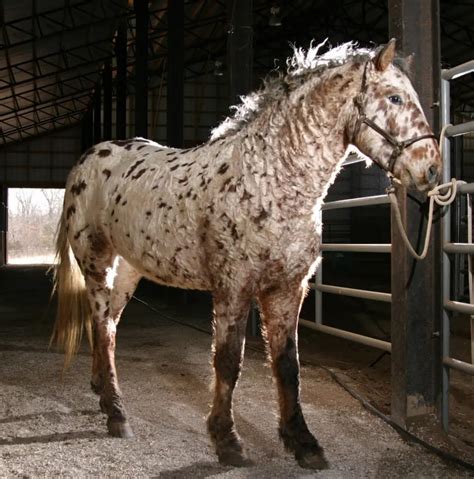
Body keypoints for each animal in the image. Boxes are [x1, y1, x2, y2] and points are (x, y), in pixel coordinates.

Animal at [51, 39, 440, 470]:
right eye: (394, 97)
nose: (431, 169)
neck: (268, 179)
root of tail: (89, 158)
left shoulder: (287, 289)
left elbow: (287, 365)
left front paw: (303, 442)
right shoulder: (233, 287)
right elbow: (227, 361)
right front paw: (227, 440)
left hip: (128, 271)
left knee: (107, 327)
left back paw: (104, 395)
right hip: (97, 264)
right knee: (103, 326)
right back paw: (117, 413)